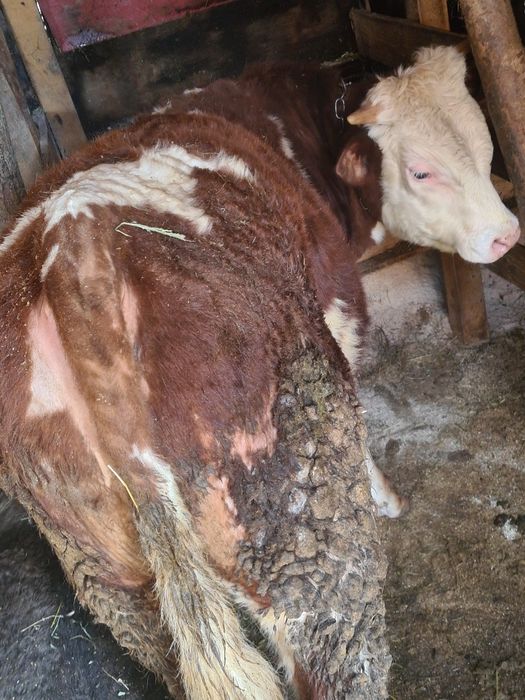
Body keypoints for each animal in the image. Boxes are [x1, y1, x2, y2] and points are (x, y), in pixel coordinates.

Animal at [0, 46, 518, 699]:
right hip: (299, 520)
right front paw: (384, 496)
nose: (506, 235)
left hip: (111, 573)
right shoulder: (337, 311)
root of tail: (73, 249)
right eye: (421, 171)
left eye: (484, 145)